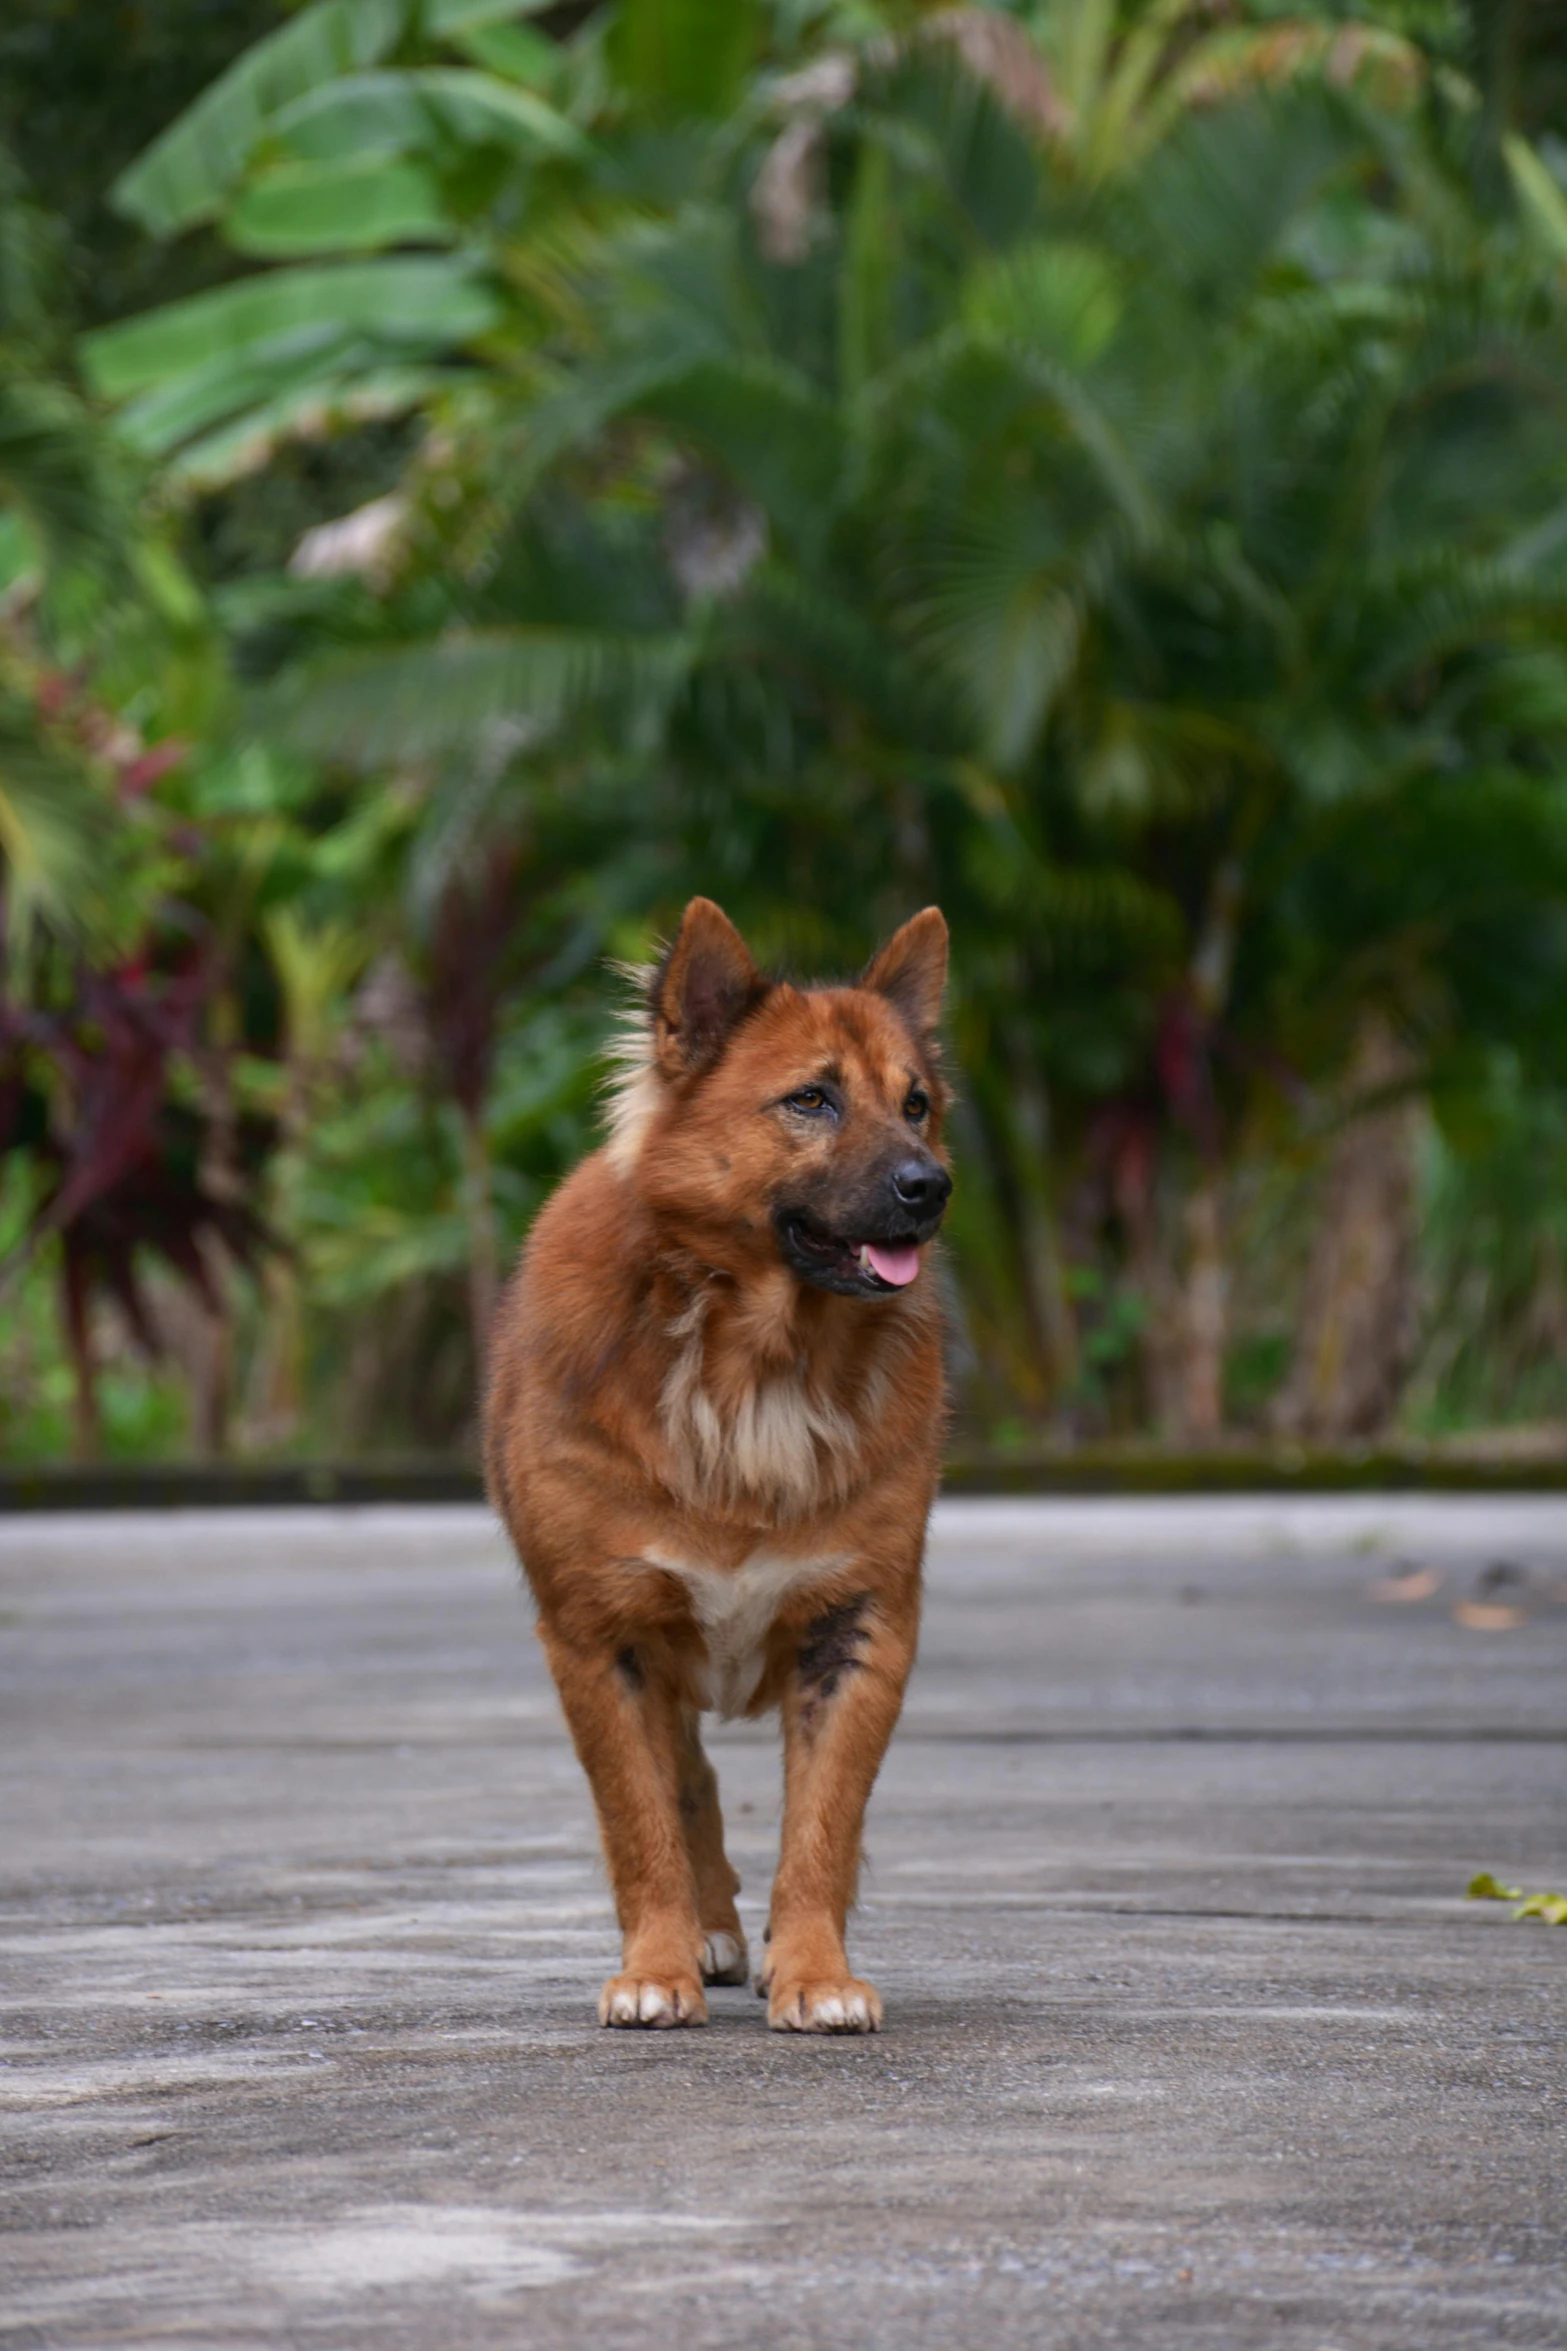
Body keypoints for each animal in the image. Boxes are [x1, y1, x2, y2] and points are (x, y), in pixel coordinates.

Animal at [483, 888, 949, 2031]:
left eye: (917, 1103)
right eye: (811, 1099)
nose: (932, 1186)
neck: (758, 1367)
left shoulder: (860, 1628)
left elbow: (821, 1826)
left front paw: (814, 1968)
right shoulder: (598, 1636)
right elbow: (642, 1819)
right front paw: (657, 1961)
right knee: (684, 1781)